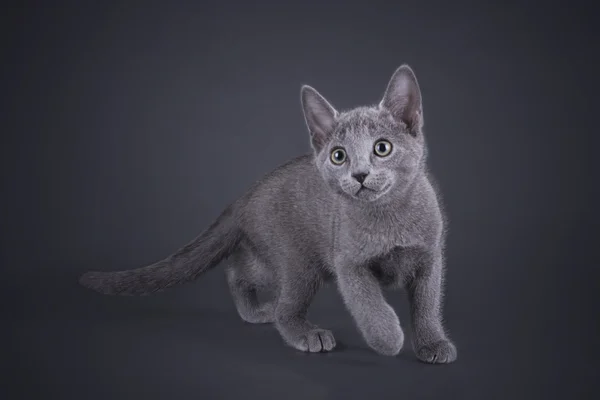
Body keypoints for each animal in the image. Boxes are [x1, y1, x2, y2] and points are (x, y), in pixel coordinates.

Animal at [78, 64, 454, 364]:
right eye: (338, 155)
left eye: (382, 148)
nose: (359, 174)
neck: (390, 218)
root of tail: (246, 195)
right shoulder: (349, 262)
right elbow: (368, 304)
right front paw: (388, 338)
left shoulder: (431, 256)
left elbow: (427, 304)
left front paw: (433, 343)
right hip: (299, 261)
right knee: (281, 303)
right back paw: (304, 332)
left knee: (238, 270)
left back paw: (256, 311)